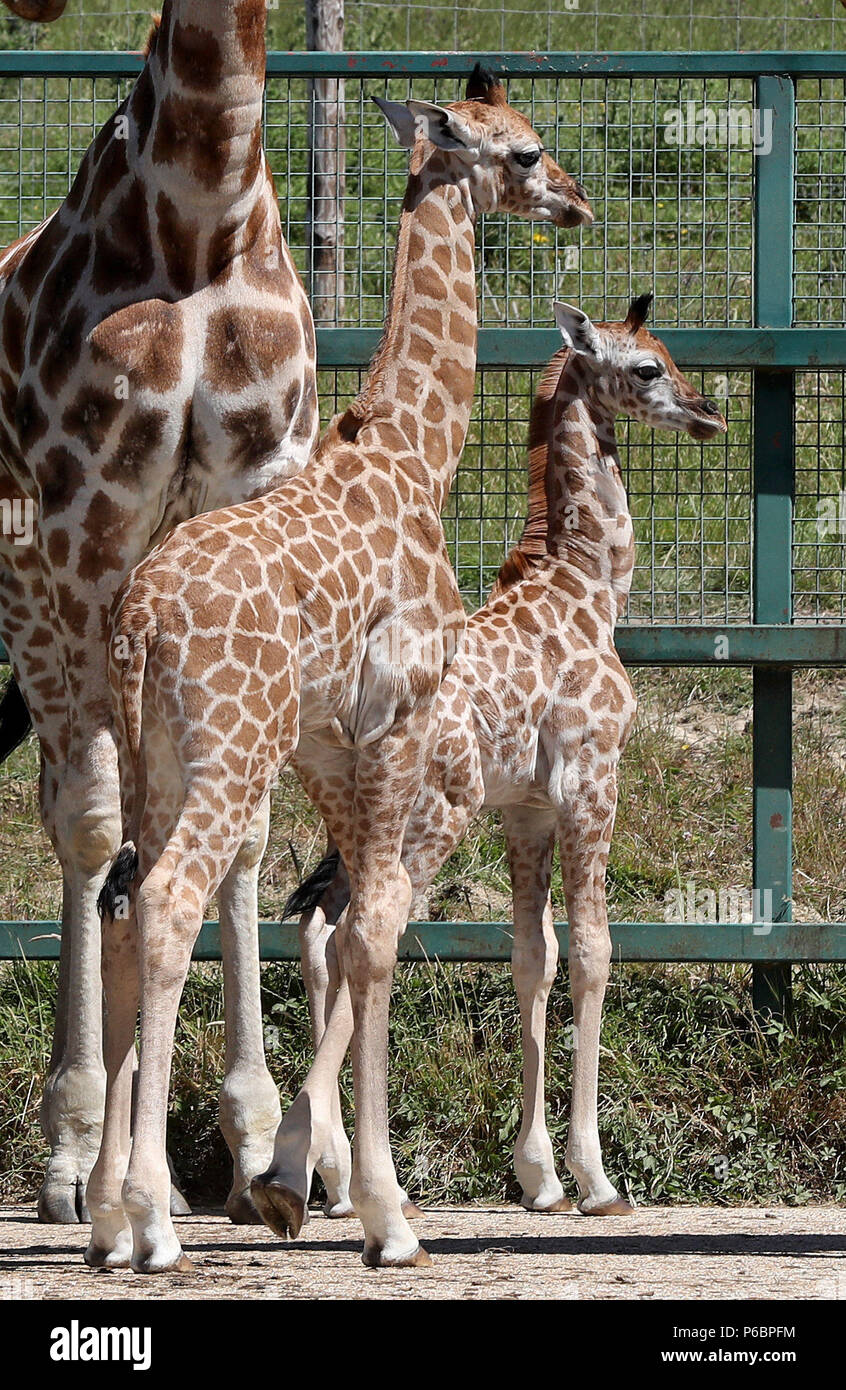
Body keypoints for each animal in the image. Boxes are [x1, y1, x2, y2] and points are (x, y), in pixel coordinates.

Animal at [0, 0, 316, 1223]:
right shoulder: (90, 525)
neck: (202, 215)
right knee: (78, 817)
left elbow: (239, 828)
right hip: (29, 593)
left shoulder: (250, 497)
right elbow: (110, 826)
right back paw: (74, 1150)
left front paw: (258, 1144)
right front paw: (101, 1159)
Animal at [85, 70, 586, 1273]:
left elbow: (351, 925)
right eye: (525, 150)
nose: (576, 201)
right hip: (229, 752)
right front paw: (383, 1212)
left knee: (122, 900)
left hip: (156, 760)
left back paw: (112, 1224)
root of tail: (141, 624)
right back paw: (155, 1224)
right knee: (168, 900)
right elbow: (378, 926)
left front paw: (307, 1184)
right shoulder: (401, 718)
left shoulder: (329, 743)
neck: (416, 455)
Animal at [273, 290, 722, 1217]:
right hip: (433, 816)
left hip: (366, 824)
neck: (589, 590)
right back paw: (328, 1172)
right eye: (647, 368)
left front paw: (539, 1175)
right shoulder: (592, 780)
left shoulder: (527, 808)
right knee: (355, 935)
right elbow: (593, 954)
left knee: (320, 929)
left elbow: (531, 958)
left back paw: (330, 1174)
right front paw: (596, 1178)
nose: (708, 414)